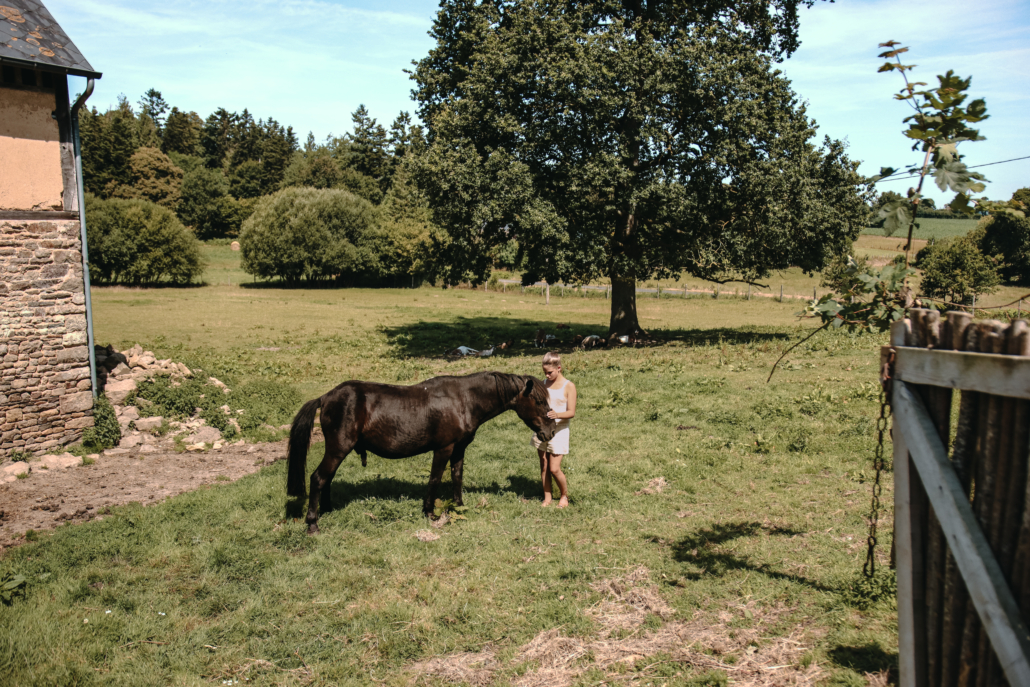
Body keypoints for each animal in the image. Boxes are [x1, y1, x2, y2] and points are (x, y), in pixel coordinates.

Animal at [286, 371, 557, 533]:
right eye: (539, 401)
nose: (551, 431)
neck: (463, 400)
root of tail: (326, 397)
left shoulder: (459, 449)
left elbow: (457, 476)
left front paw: (458, 506)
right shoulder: (444, 448)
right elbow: (435, 478)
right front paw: (429, 512)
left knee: (326, 479)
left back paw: (327, 510)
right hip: (338, 448)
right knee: (318, 478)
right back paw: (313, 523)